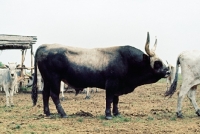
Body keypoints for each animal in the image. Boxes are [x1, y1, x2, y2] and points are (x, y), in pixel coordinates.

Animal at [31, 32, 170, 119]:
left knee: (45, 94)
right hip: (54, 78)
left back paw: (48, 113)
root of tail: (45, 46)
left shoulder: (117, 86)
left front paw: (117, 113)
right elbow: (109, 99)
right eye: (157, 63)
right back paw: (63, 113)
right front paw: (108, 115)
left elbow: (116, 100)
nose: (168, 70)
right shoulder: (111, 84)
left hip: (47, 79)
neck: (126, 60)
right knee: (54, 95)